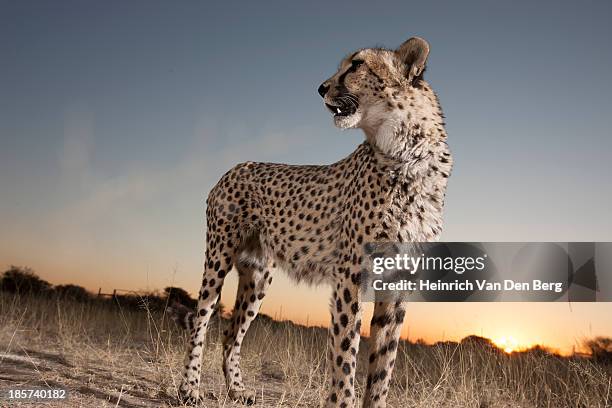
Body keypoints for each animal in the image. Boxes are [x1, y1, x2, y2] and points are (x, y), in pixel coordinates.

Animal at [171, 36, 450, 406]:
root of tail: (236, 166)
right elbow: (345, 356)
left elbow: (383, 367)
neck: (407, 156)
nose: (321, 88)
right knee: (201, 320)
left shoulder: (397, 284)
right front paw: (341, 400)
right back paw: (189, 388)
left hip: (258, 275)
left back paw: (237, 390)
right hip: (219, 257)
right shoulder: (350, 276)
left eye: (357, 65)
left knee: (232, 332)